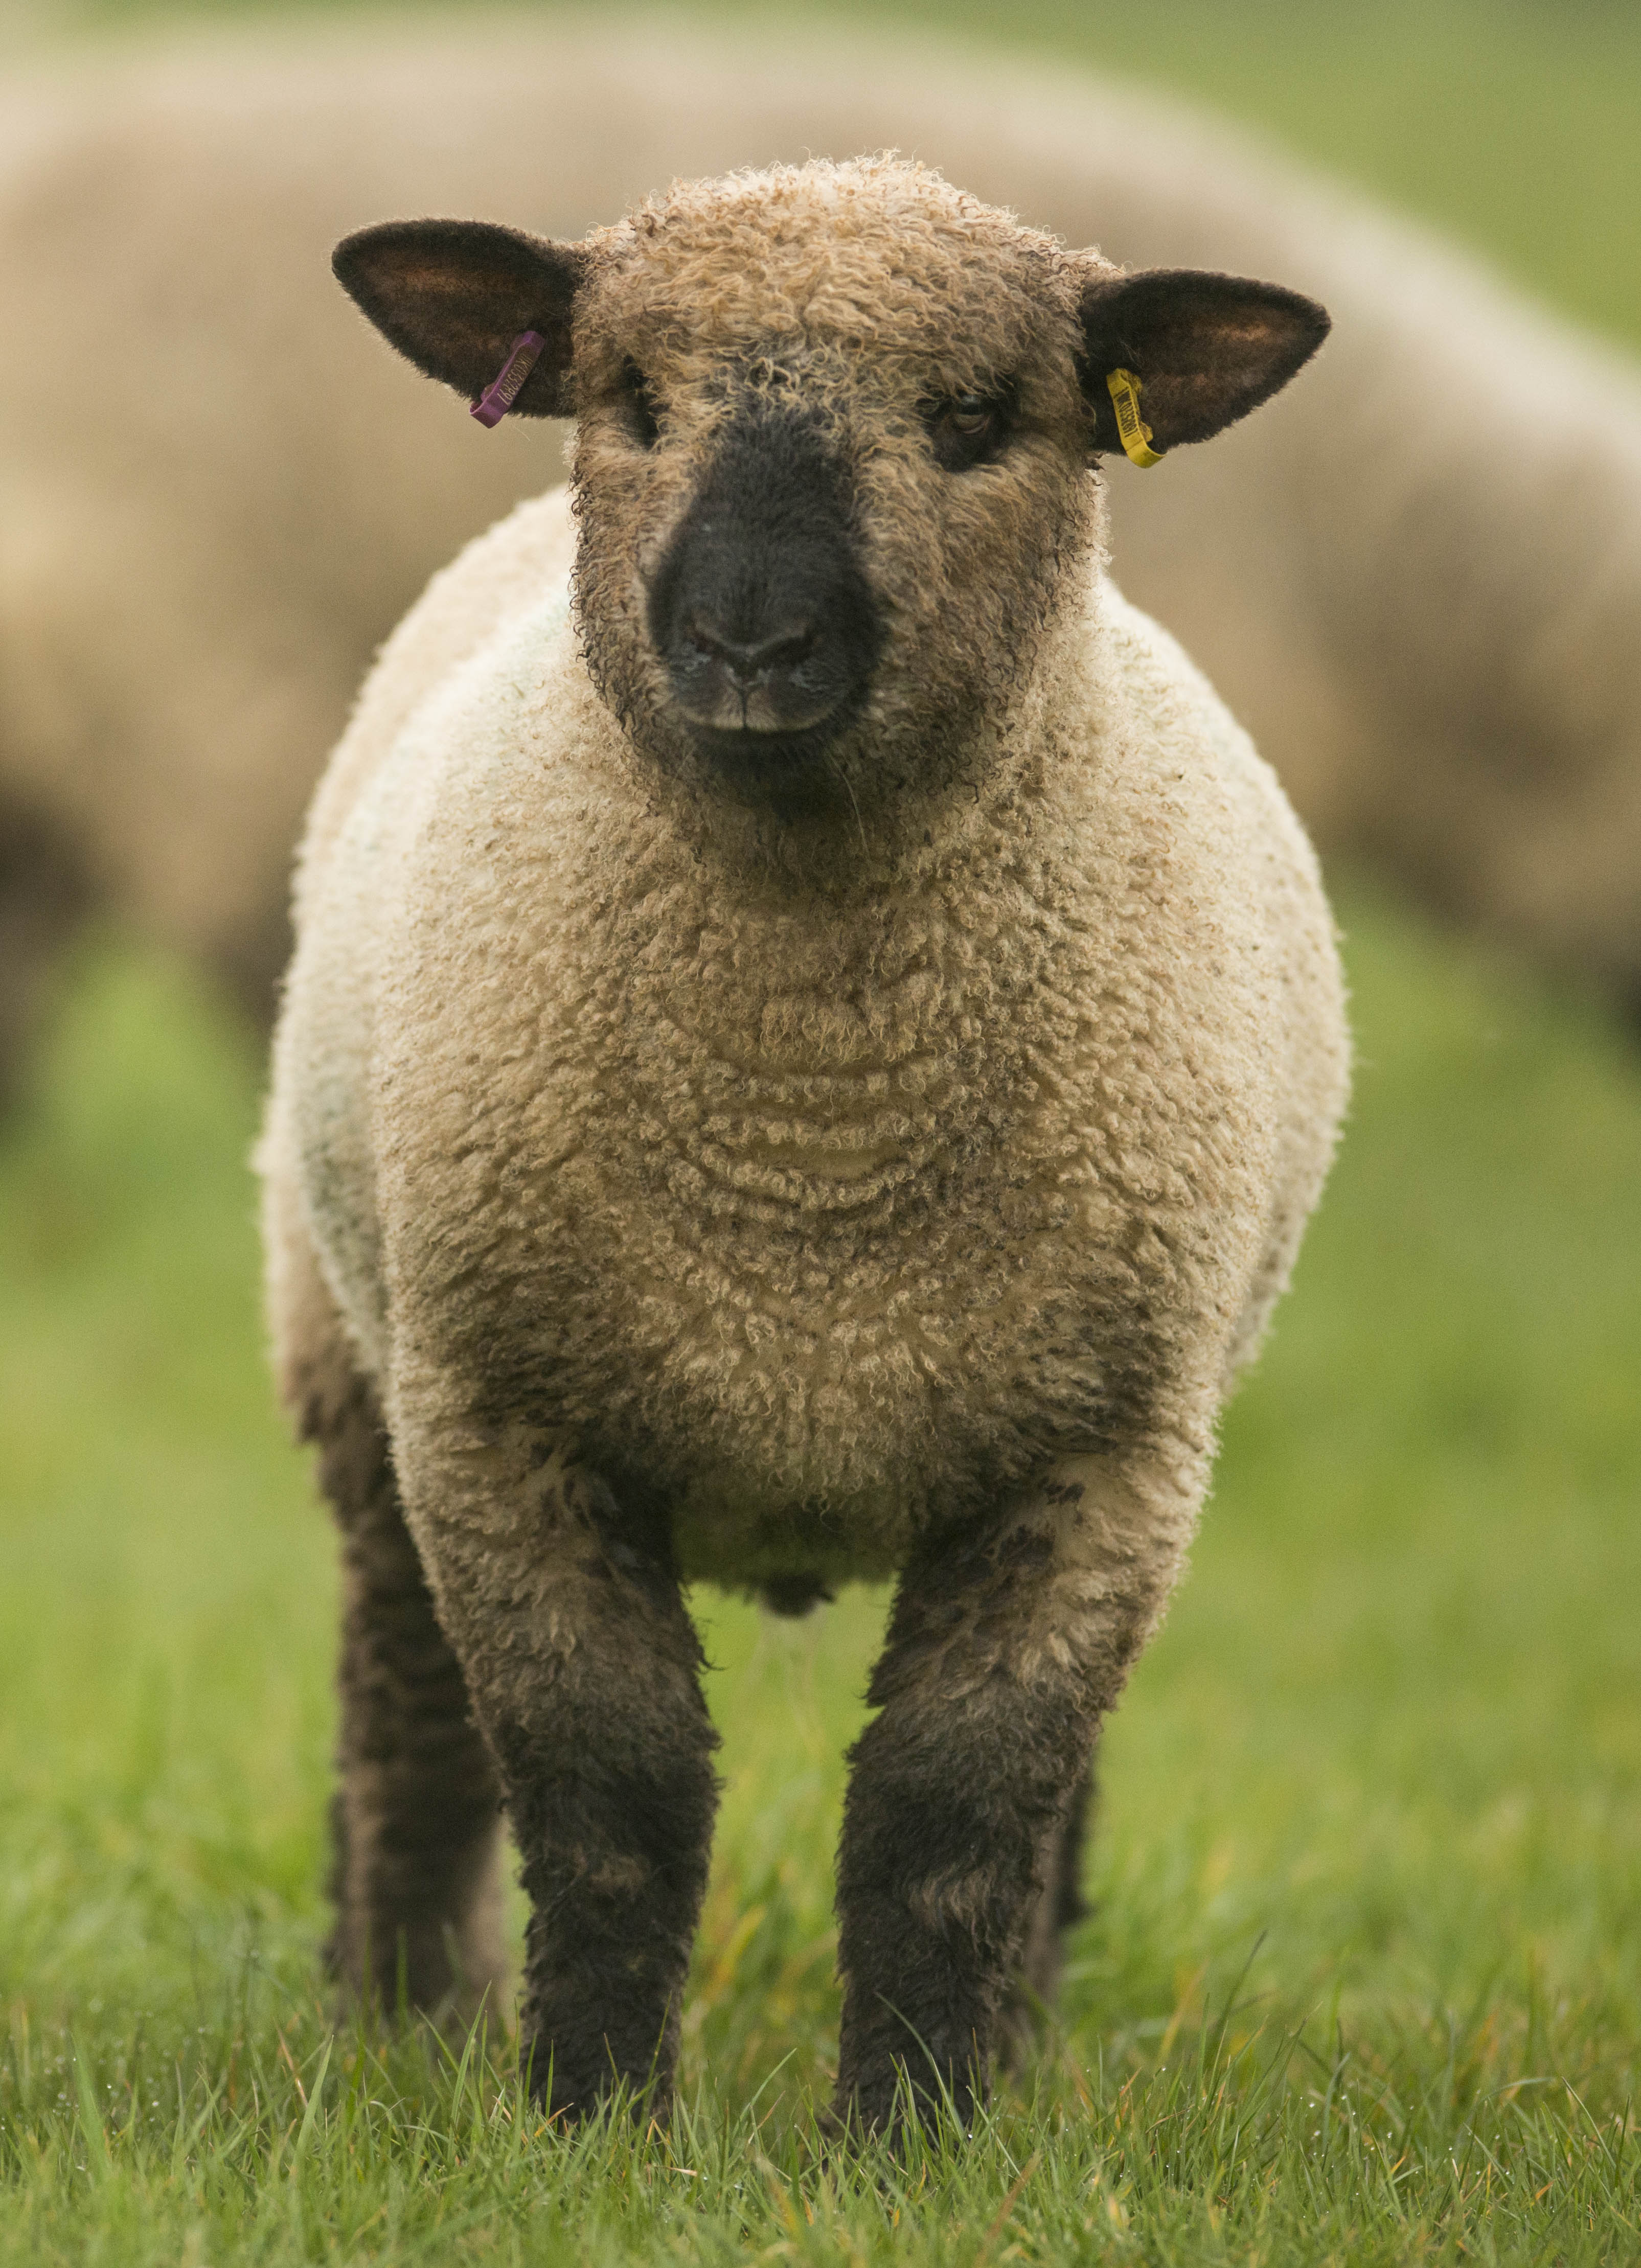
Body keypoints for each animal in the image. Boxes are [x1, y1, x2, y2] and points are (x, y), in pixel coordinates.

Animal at [260, 152, 1350, 2135]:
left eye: (980, 418)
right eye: (629, 400)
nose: (748, 644)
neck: (810, 1147)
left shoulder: (1101, 1454)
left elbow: (951, 1815)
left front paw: (912, 2133)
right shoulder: (505, 1420)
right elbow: (608, 1798)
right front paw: (594, 2121)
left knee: (1052, 1800)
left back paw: (1016, 2047)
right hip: (354, 1358)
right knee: (405, 1718)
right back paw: (397, 2021)